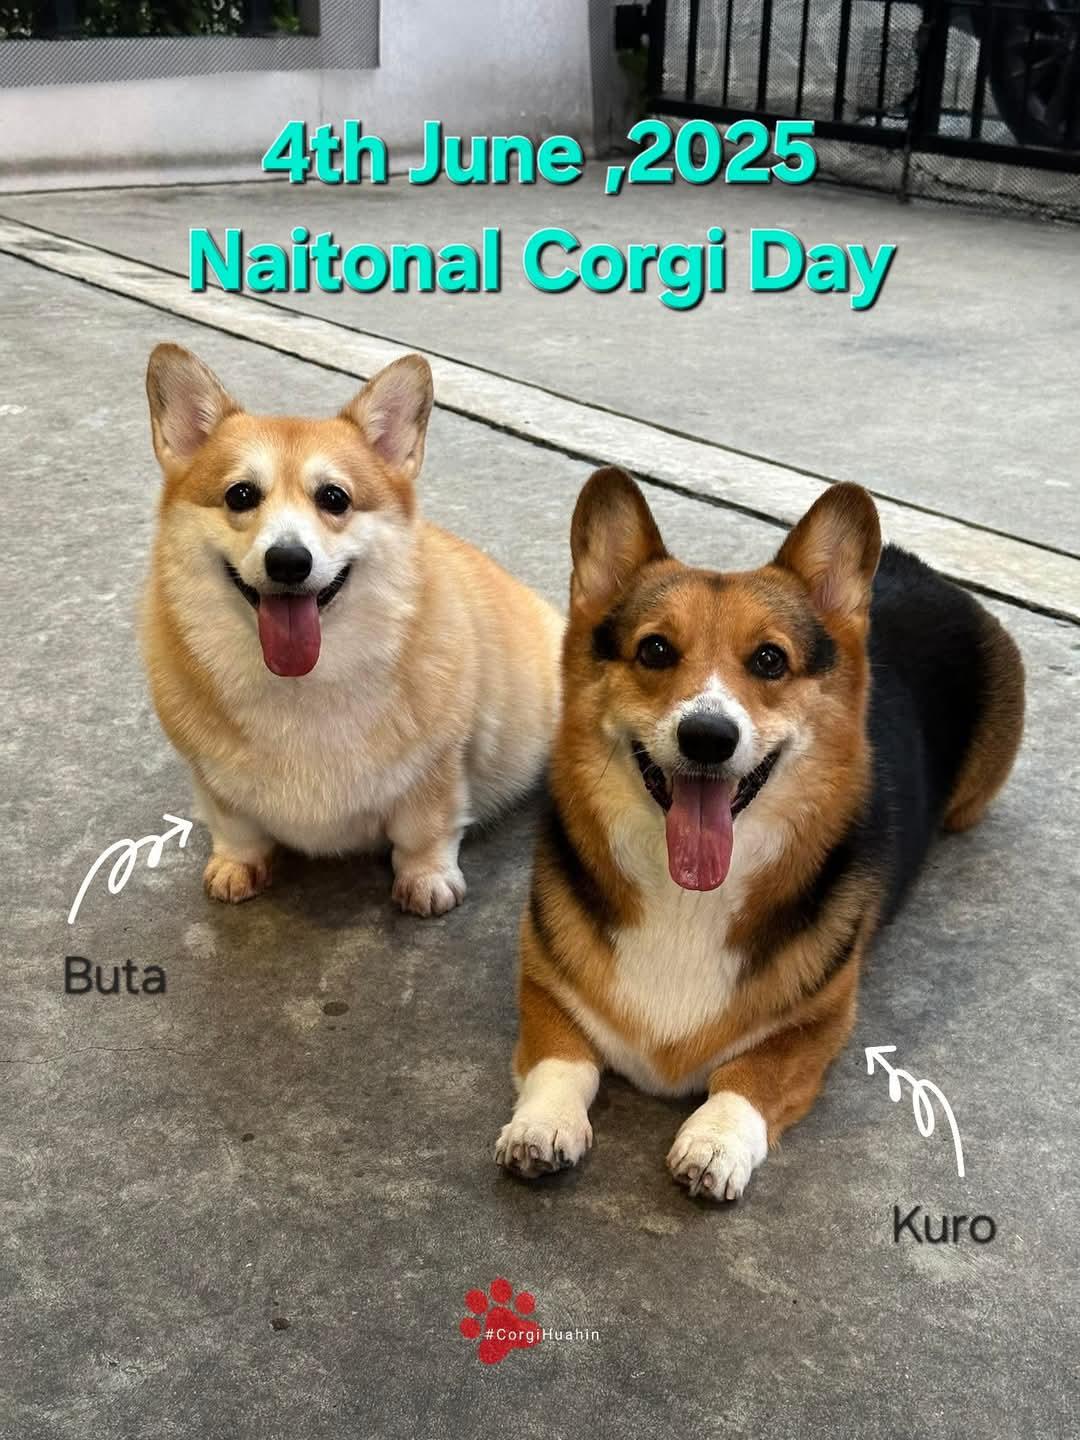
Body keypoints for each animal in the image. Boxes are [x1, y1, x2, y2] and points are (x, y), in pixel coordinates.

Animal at [141, 344, 563, 915]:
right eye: (241, 495)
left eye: (335, 498)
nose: (289, 561)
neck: (302, 685)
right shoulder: (214, 783)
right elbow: (236, 829)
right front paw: (236, 866)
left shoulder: (436, 771)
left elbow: (424, 831)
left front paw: (428, 880)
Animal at [496, 467, 1023, 1199]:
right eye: (655, 649)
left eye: (771, 660)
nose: (707, 737)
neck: (689, 899)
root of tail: (921, 568)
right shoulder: (544, 982)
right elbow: (562, 1059)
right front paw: (541, 1125)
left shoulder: (819, 1020)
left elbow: (750, 1076)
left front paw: (714, 1144)